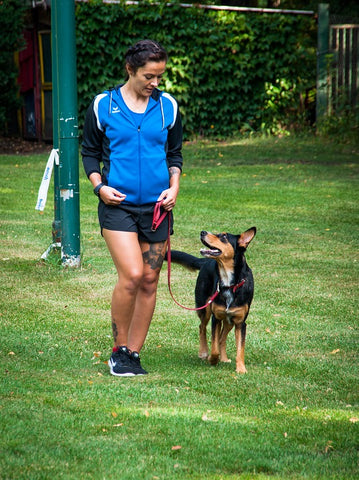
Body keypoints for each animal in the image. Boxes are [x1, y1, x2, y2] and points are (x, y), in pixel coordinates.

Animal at [169, 227, 256, 374]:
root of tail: (206, 261)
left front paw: (241, 369)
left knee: (222, 338)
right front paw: (212, 359)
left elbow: (240, 348)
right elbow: (214, 346)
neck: (229, 284)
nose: (203, 232)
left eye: (224, 237)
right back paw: (204, 352)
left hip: (229, 321)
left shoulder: (240, 322)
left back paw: (224, 358)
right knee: (202, 327)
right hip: (205, 308)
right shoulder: (216, 317)